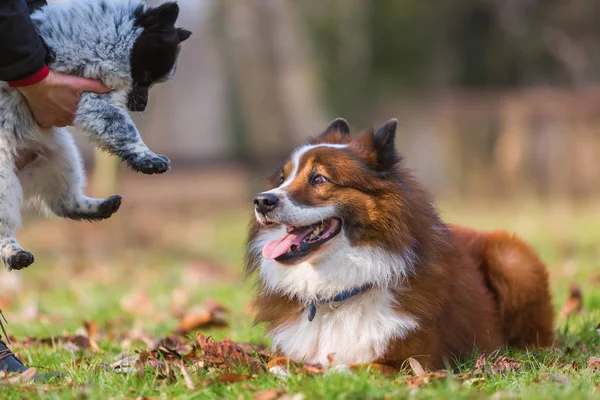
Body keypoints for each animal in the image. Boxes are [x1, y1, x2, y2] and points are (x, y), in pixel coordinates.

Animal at [0, 0, 190, 272]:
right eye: (145, 77)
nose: (140, 107)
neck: (107, 33)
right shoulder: (93, 97)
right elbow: (124, 130)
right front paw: (150, 159)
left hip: (62, 156)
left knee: (63, 203)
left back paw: (103, 206)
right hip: (5, 178)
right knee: (6, 228)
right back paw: (15, 255)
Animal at [246, 118, 556, 368]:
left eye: (319, 179)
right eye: (283, 178)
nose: (261, 201)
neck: (336, 293)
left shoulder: (408, 363)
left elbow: (348, 368)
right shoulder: (286, 353)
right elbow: (276, 364)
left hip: (512, 259)